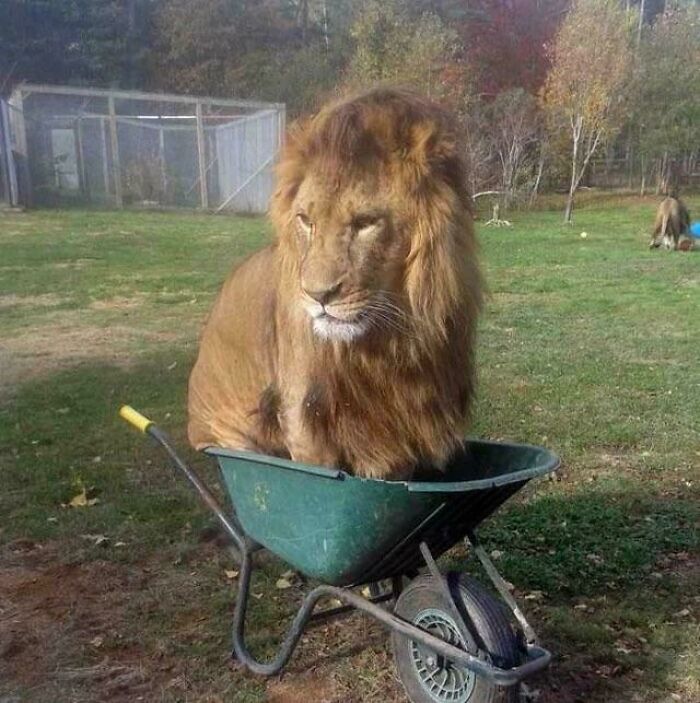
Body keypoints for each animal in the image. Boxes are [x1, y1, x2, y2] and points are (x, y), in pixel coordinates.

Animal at [187, 88, 483, 480]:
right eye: (305, 220)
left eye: (366, 222)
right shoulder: (305, 418)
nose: (318, 295)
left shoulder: (399, 433)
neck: (386, 345)